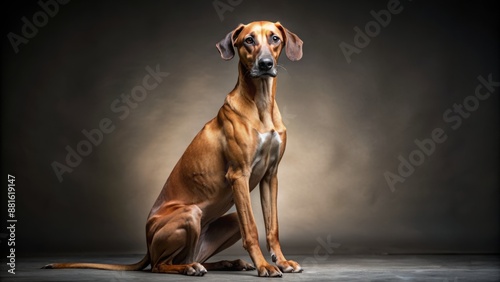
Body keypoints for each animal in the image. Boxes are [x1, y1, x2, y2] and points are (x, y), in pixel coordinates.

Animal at [45, 20, 304, 278]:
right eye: (249, 40)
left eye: (274, 38)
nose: (265, 64)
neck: (261, 104)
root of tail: (148, 246)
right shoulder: (239, 175)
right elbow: (251, 228)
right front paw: (264, 265)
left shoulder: (270, 176)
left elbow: (272, 227)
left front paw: (281, 261)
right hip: (191, 214)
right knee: (161, 265)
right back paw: (189, 268)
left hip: (227, 222)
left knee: (193, 257)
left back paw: (227, 263)